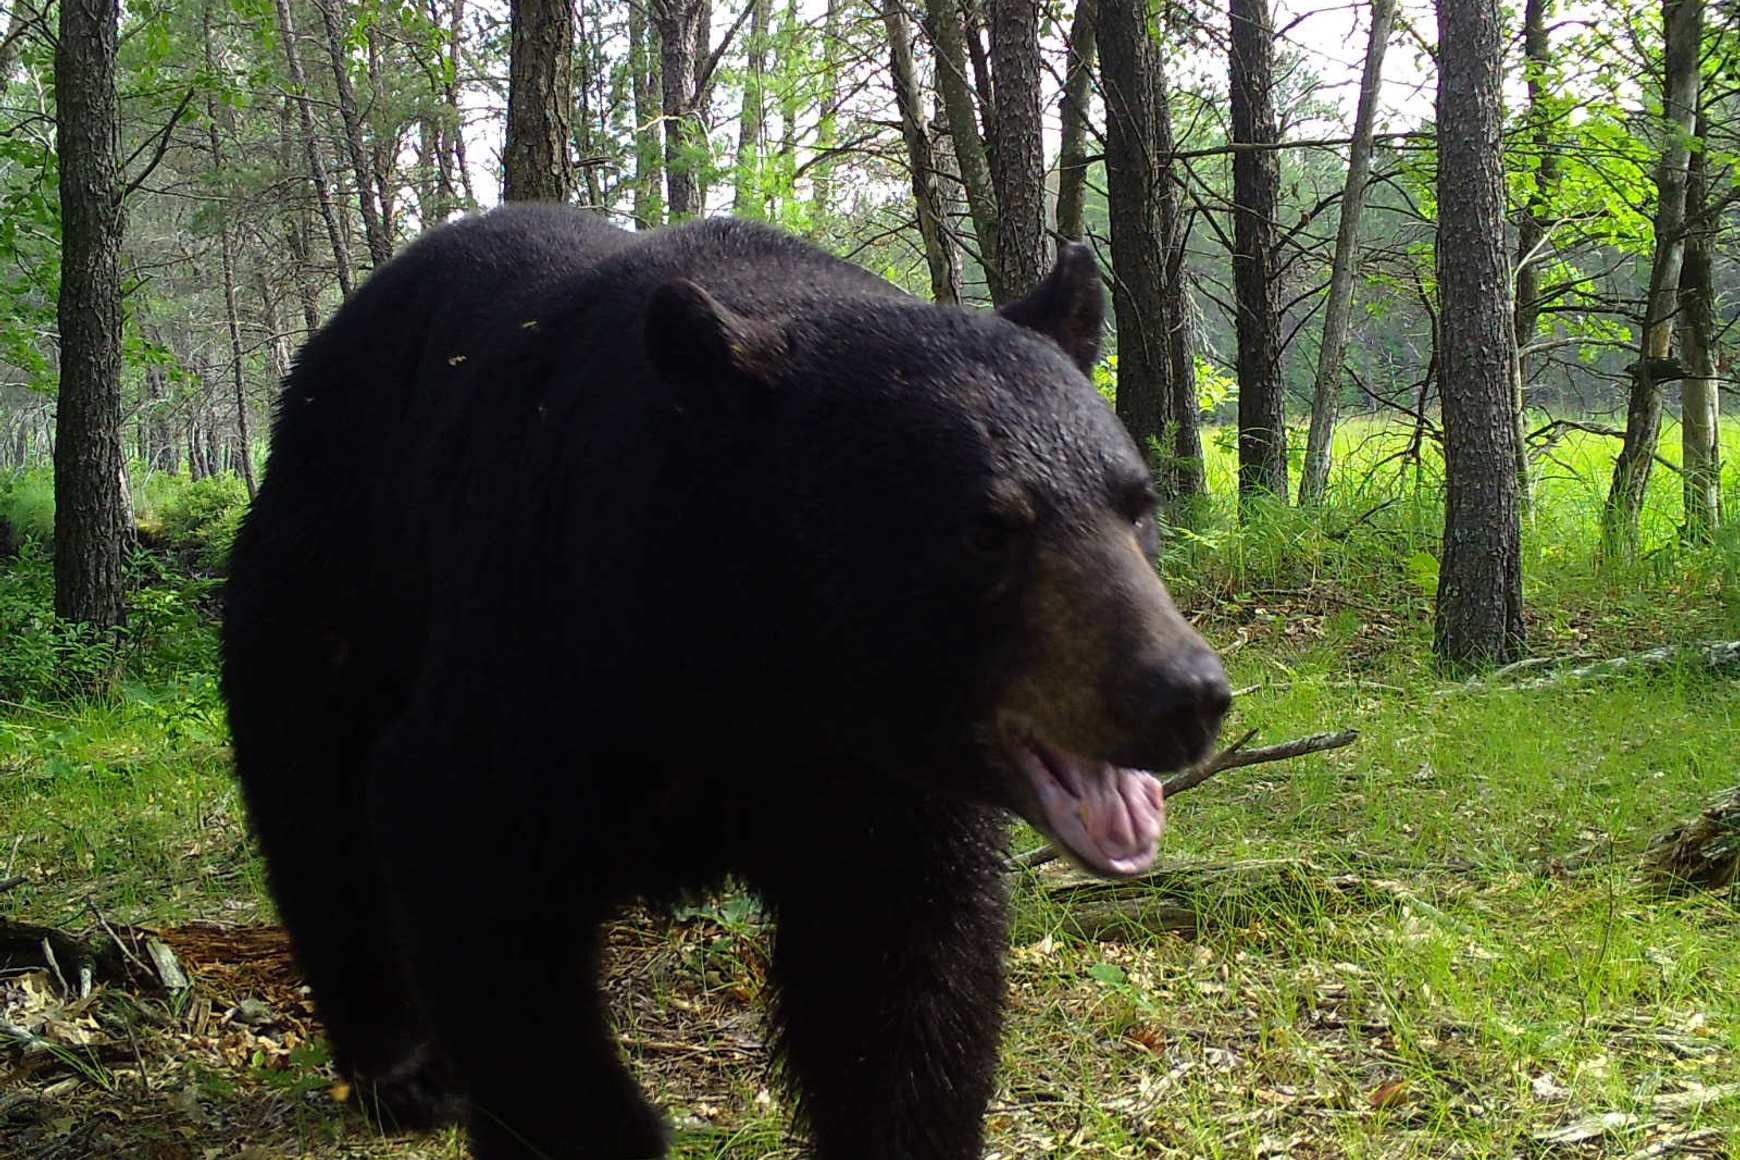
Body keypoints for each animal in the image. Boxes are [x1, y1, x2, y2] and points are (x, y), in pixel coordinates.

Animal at [224, 208, 1231, 1160]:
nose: (1182, 694)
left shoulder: (872, 787)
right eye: (987, 529)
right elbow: (467, 860)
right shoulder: (545, 650)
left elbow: (901, 985)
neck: (761, 673)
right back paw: (398, 1068)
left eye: (1136, 503)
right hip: (325, 571)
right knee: (311, 800)